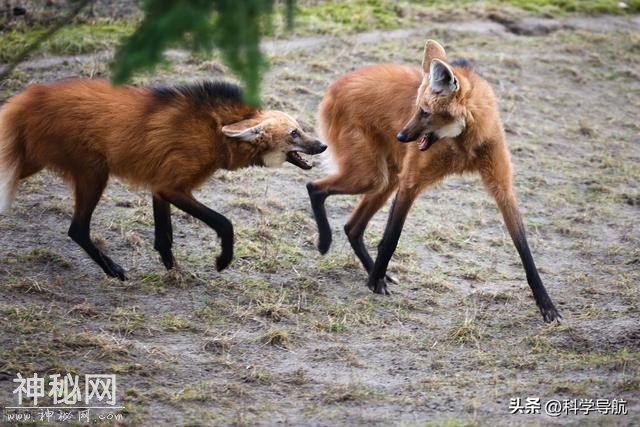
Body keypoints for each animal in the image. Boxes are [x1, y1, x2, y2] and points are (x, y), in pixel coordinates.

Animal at [0, 80, 328, 280]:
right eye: (294, 134)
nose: (323, 146)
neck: (216, 132)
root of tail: (30, 95)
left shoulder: (161, 186)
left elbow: (164, 236)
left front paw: (174, 272)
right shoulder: (172, 186)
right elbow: (224, 222)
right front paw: (221, 261)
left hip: (33, 160)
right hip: (93, 172)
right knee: (77, 229)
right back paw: (113, 270)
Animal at [306, 40, 560, 322]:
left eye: (425, 112)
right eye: (417, 108)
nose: (401, 136)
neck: (464, 142)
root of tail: (335, 85)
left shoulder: (502, 187)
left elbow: (524, 248)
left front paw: (547, 305)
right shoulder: (410, 183)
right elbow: (391, 238)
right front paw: (373, 282)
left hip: (385, 179)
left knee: (352, 226)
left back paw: (374, 270)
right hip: (372, 177)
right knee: (315, 188)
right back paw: (327, 243)